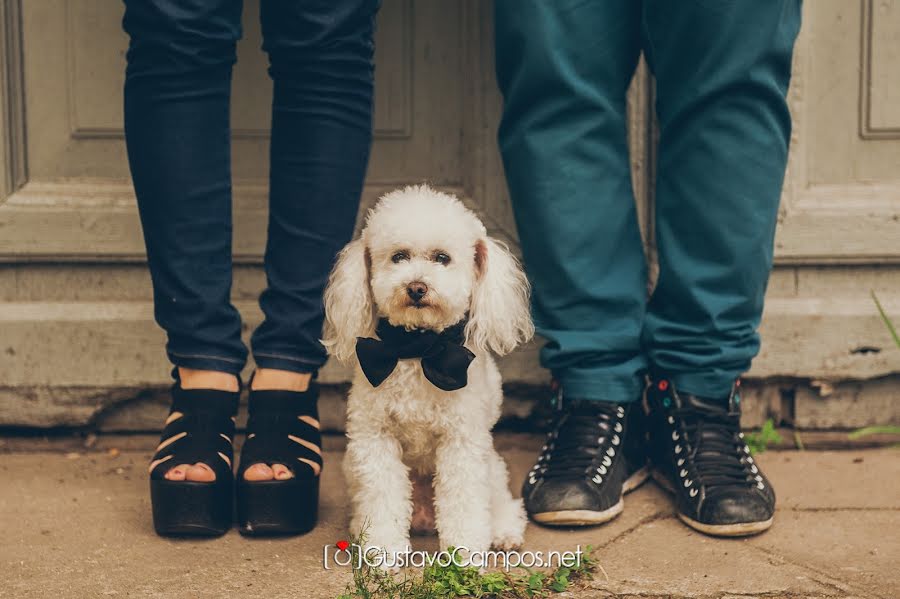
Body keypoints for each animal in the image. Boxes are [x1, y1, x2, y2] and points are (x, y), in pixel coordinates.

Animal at [324, 185, 536, 556]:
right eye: (398, 257)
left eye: (442, 258)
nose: (416, 287)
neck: (417, 349)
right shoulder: (375, 440)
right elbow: (382, 500)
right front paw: (383, 549)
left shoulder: (461, 442)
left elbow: (464, 502)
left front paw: (465, 554)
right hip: (352, 463)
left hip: (491, 464)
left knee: (501, 503)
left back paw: (503, 531)